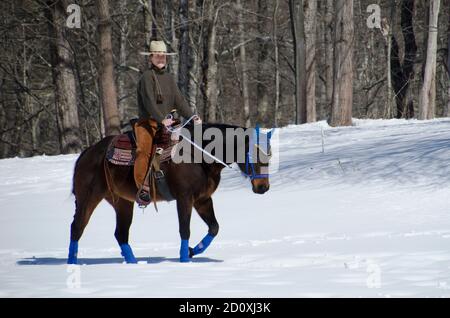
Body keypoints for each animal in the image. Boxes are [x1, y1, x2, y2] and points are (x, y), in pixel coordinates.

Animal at [66, 121, 270, 264]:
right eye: (254, 154)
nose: (263, 187)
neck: (198, 156)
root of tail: (87, 153)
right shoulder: (184, 198)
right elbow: (184, 229)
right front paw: (184, 258)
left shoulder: (202, 199)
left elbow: (214, 227)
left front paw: (192, 251)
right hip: (88, 197)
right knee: (77, 227)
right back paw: (72, 263)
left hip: (122, 202)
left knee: (120, 233)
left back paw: (133, 263)